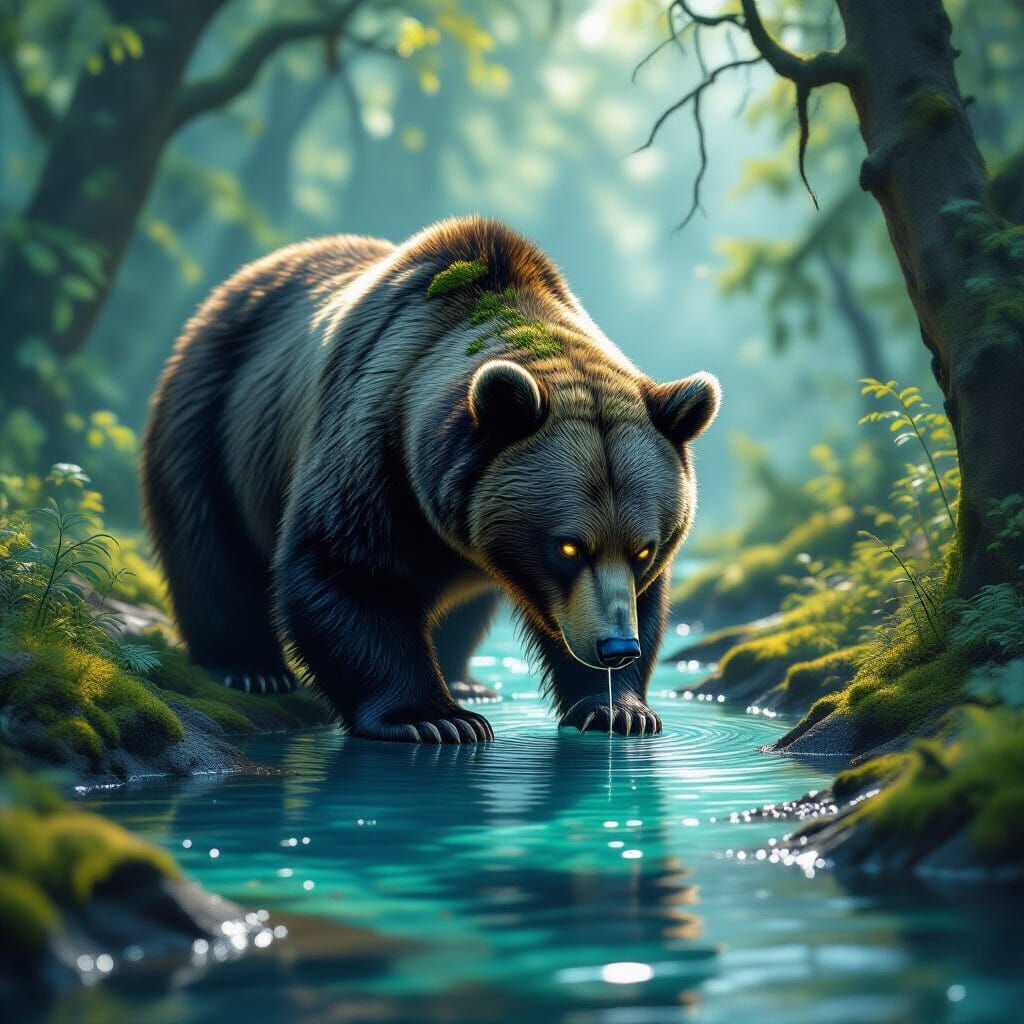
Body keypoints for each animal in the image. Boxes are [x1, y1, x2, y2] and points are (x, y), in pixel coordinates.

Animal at [141, 217, 720, 743]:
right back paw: (249, 667)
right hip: (211, 419)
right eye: (568, 546)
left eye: (645, 548)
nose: (615, 647)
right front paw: (433, 718)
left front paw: (619, 708)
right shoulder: (372, 444)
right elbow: (348, 566)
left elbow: (642, 602)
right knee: (211, 547)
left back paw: (465, 680)